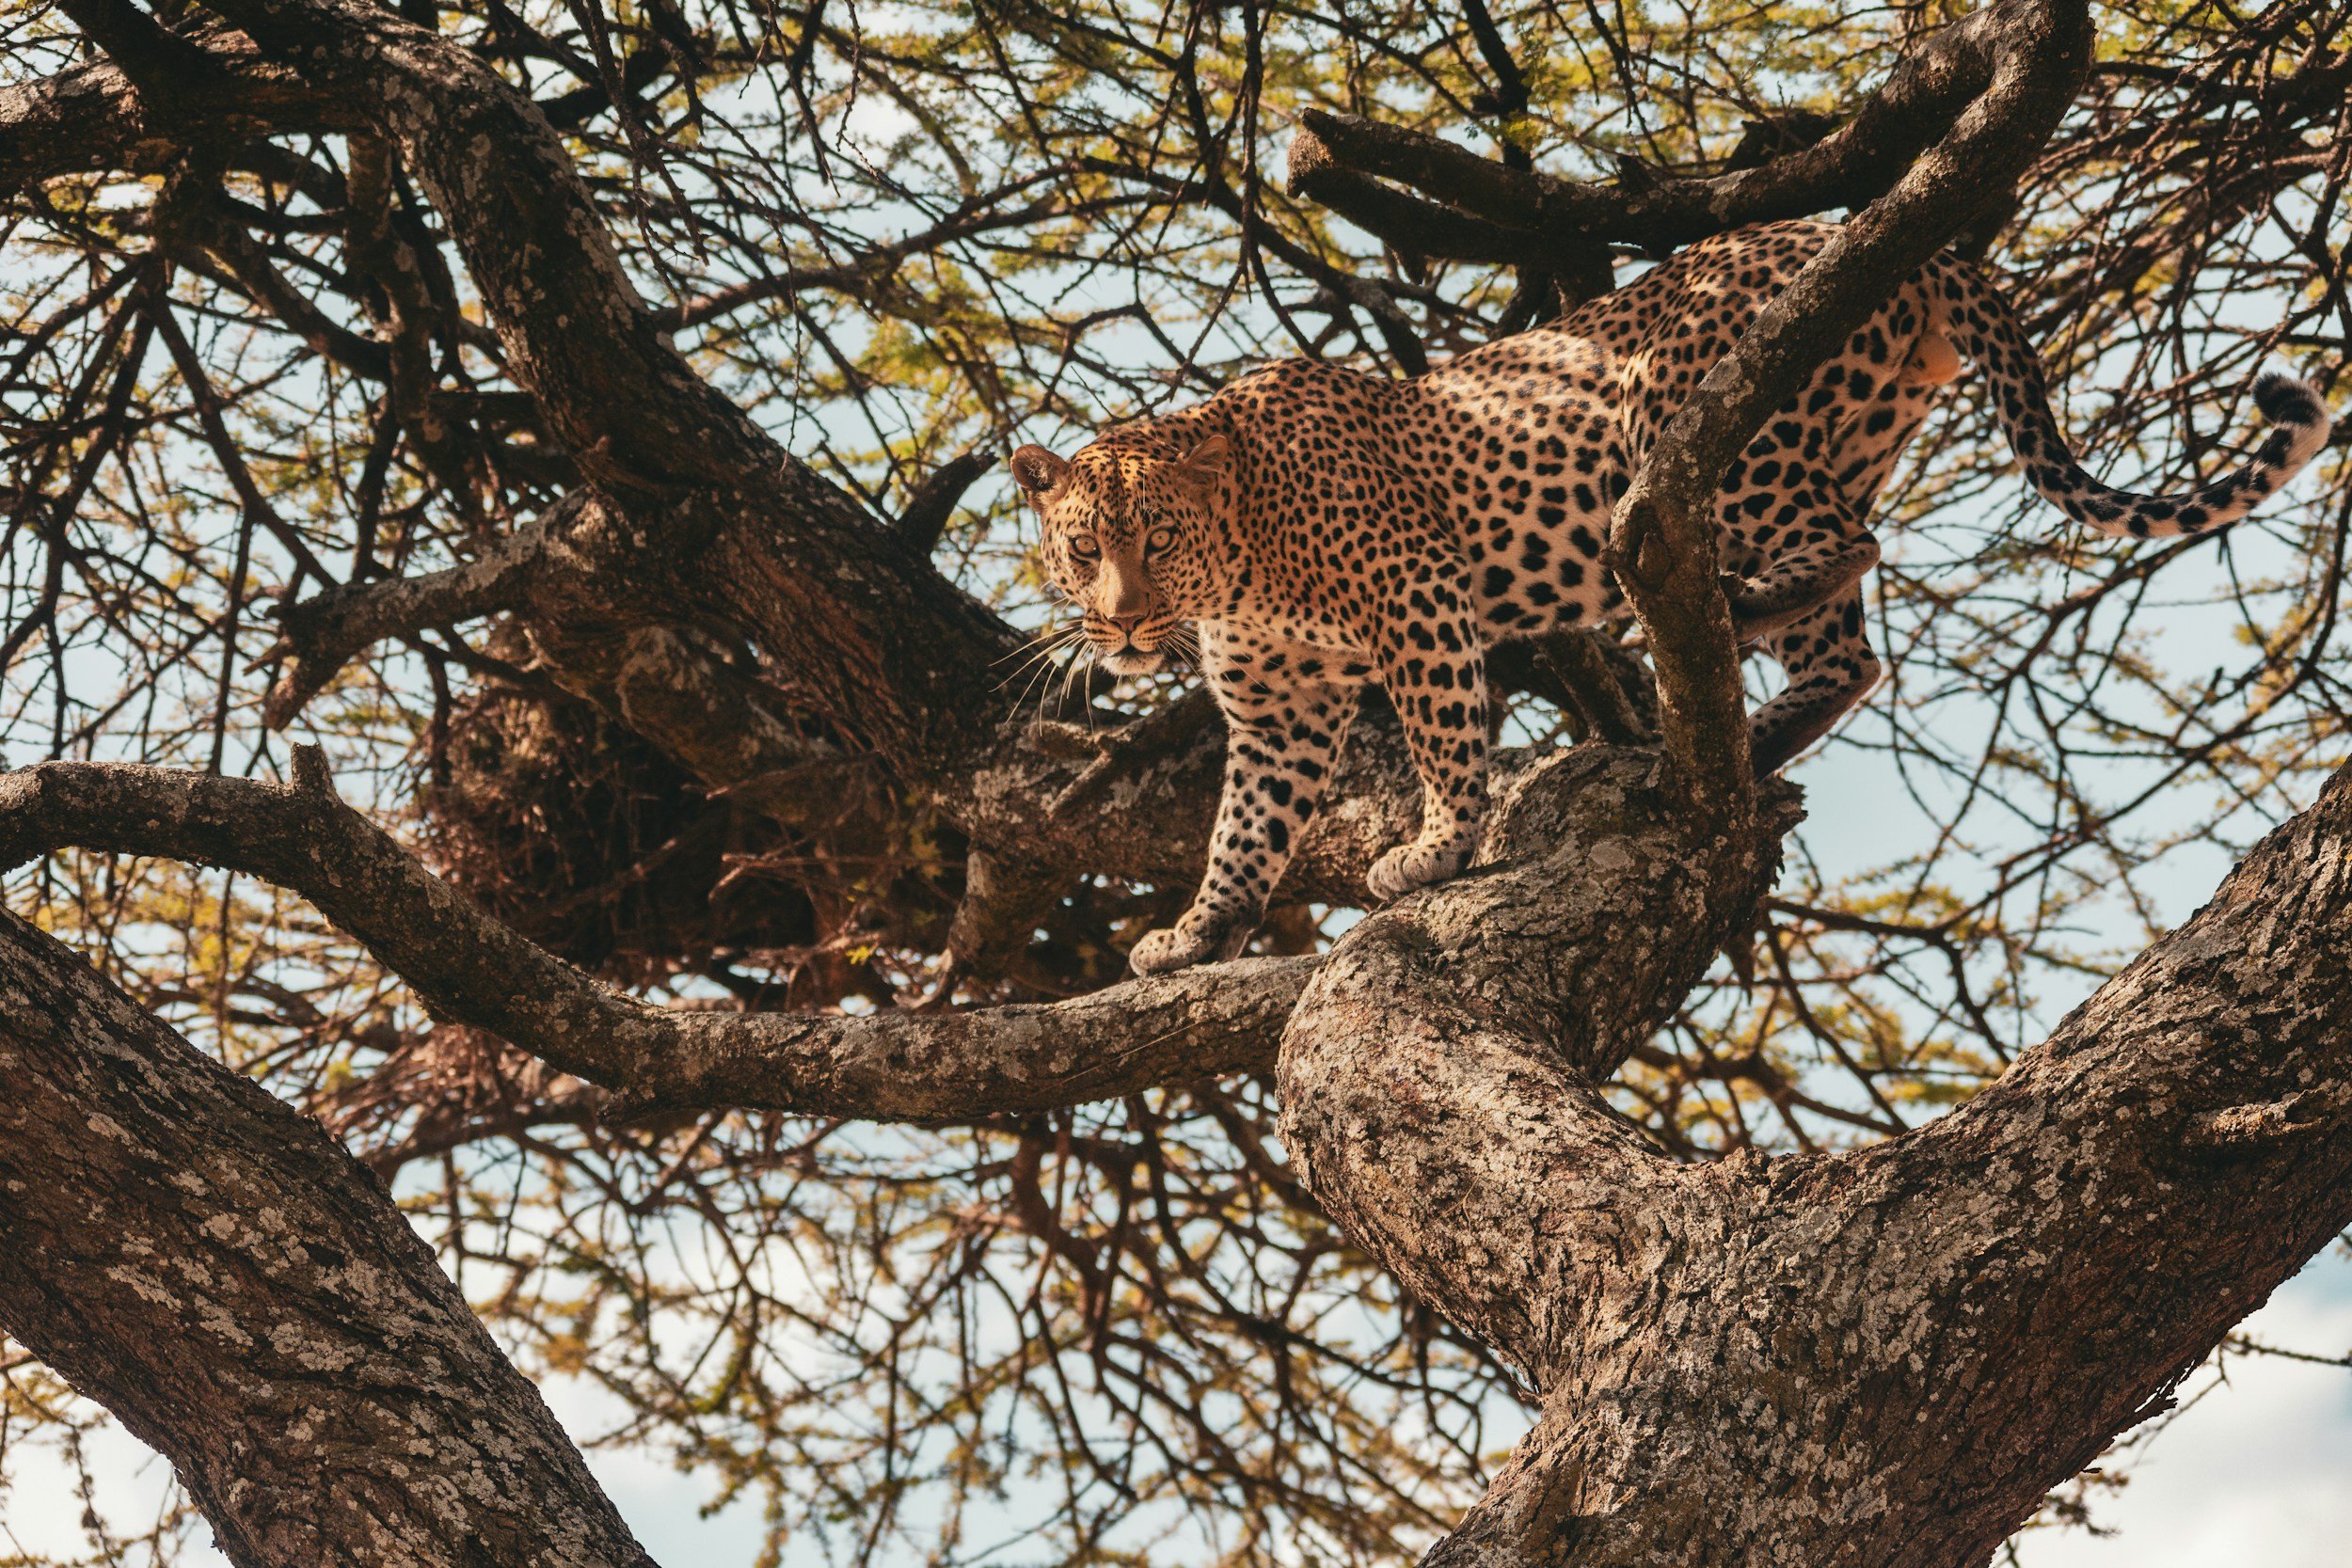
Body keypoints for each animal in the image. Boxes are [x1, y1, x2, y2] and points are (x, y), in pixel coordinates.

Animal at [1006, 219, 2334, 977]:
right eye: (1081, 548)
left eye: (1157, 536)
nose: (1120, 622)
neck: (1241, 558)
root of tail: (1915, 243)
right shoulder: (1277, 706)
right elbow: (1245, 828)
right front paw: (1198, 930)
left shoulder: (1418, 599)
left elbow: (1443, 739)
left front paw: (1434, 850)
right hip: (1833, 442)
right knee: (1851, 649)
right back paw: (1737, 737)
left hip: (1710, 433)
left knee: (1845, 545)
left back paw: (1713, 633)